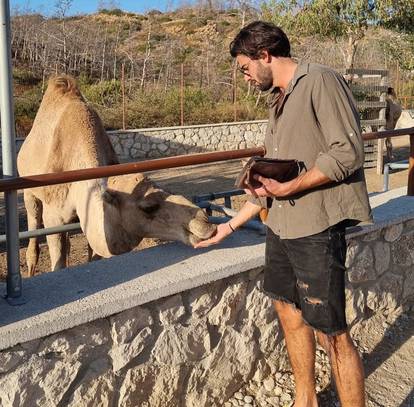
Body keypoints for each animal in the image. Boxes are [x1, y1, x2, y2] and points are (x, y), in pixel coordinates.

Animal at [16, 75, 217, 276]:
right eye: (148, 207)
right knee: (33, 233)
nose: (205, 222)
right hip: (30, 194)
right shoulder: (53, 216)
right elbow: (58, 261)